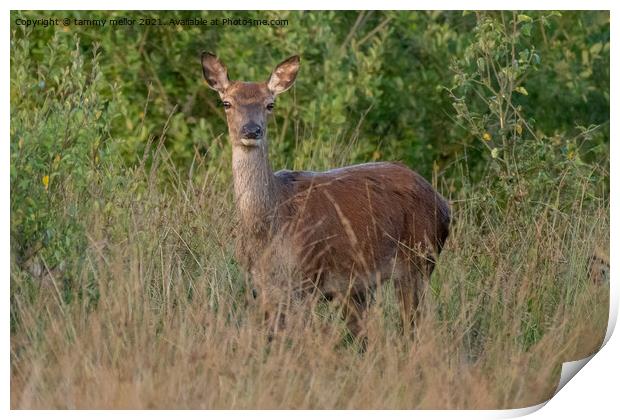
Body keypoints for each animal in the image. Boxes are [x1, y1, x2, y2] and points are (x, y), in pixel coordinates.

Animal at [203, 52, 450, 342]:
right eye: (227, 102)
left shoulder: (308, 277)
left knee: (412, 327)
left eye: (270, 104)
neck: (267, 229)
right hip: (359, 285)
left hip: (418, 260)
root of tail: (444, 204)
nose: (251, 130)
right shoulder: (260, 286)